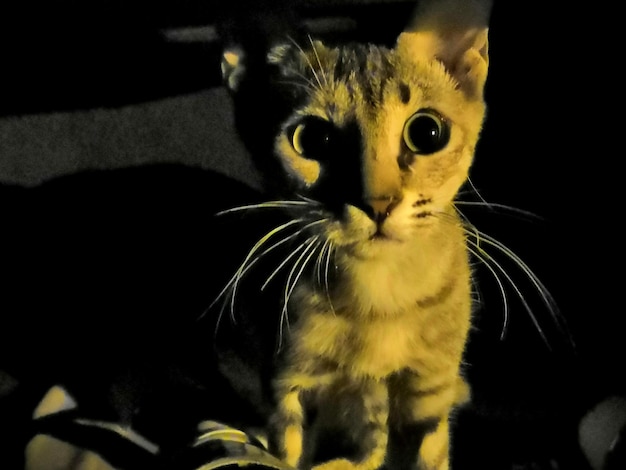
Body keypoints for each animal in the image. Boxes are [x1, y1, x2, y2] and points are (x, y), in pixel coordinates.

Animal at [218, 0, 492, 470]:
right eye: (312, 139)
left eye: (427, 132)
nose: (377, 204)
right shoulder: (290, 385)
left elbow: (425, 454)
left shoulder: (428, 394)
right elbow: (290, 452)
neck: (378, 300)